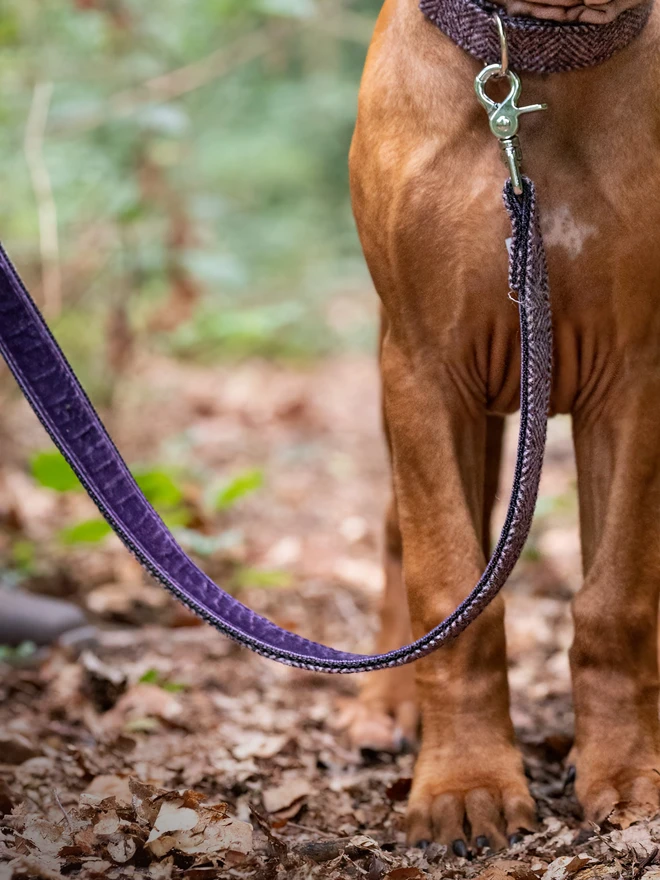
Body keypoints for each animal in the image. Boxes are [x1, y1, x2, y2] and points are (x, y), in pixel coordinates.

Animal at [346, 0, 660, 856]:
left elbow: (616, 602)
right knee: (399, 535)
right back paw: (387, 705)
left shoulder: (634, 377)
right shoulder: (427, 372)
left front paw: (628, 775)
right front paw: (467, 783)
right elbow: (452, 591)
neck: (537, 53)